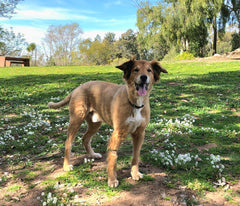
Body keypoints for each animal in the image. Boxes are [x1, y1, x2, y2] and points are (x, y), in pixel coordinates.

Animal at [47, 57, 167, 187]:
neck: (135, 103)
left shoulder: (139, 133)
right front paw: (112, 179)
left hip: (95, 124)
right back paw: (66, 166)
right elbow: (113, 157)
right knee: (68, 142)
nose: (144, 77)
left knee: (85, 138)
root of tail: (77, 88)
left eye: (149, 70)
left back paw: (92, 154)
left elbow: (135, 156)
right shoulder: (118, 133)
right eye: (136, 70)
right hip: (76, 121)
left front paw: (134, 173)